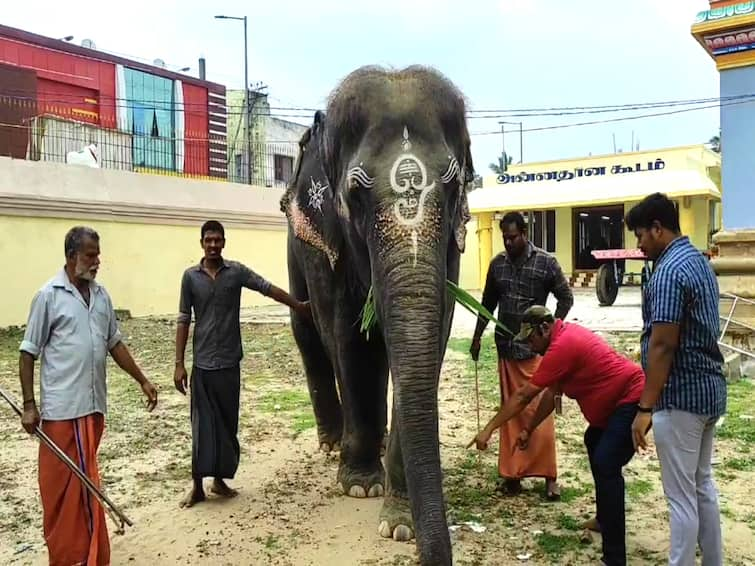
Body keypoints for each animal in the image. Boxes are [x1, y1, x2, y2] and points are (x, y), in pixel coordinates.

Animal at [280, 65, 472, 564]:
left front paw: (400, 524)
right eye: (354, 194)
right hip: (295, 246)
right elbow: (350, 338)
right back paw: (333, 445)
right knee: (308, 328)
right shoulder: (326, 239)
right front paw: (361, 486)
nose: (430, 552)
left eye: (453, 187)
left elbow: (431, 339)